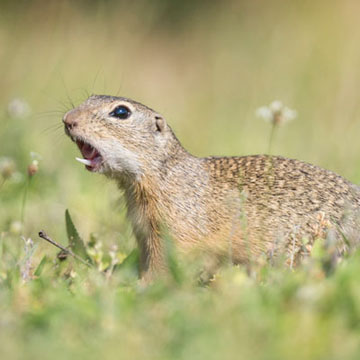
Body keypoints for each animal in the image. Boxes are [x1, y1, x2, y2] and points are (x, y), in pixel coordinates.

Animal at [64, 95, 360, 282]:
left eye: (121, 112)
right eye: (89, 97)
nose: (68, 119)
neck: (162, 174)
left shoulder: (175, 233)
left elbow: (163, 265)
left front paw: (142, 286)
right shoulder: (145, 234)